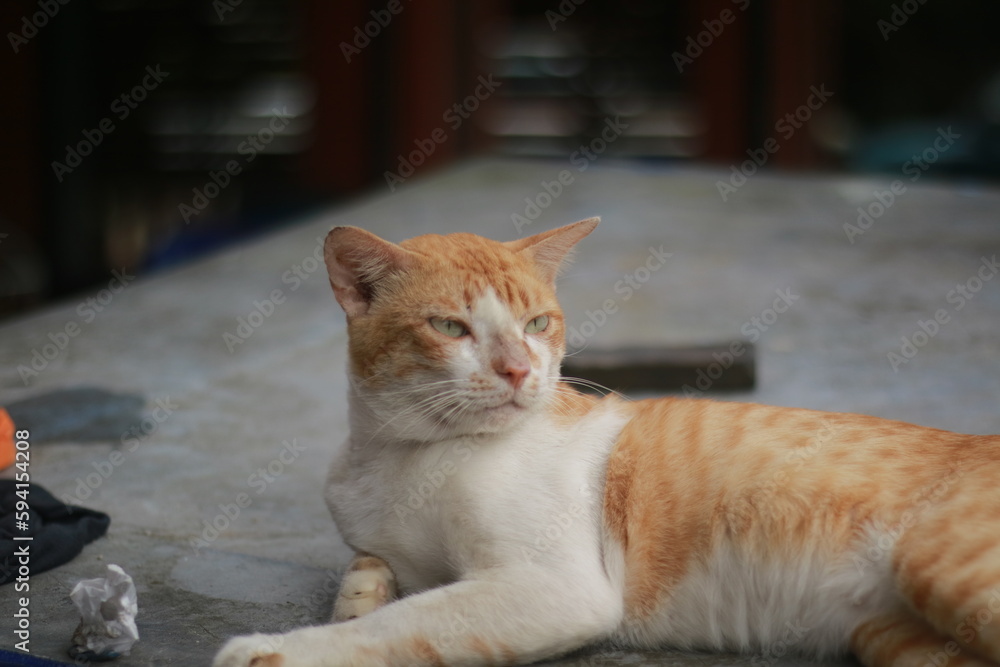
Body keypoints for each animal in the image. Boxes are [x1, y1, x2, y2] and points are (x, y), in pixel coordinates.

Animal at [217, 219, 1000, 667]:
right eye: (450, 328)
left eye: (537, 323)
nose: (519, 369)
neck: (403, 454)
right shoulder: (379, 543)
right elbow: (368, 579)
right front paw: (359, 596)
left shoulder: (553, 588)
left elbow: (402, 624)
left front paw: (278, 649)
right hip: (899, 640)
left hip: (941, 570)